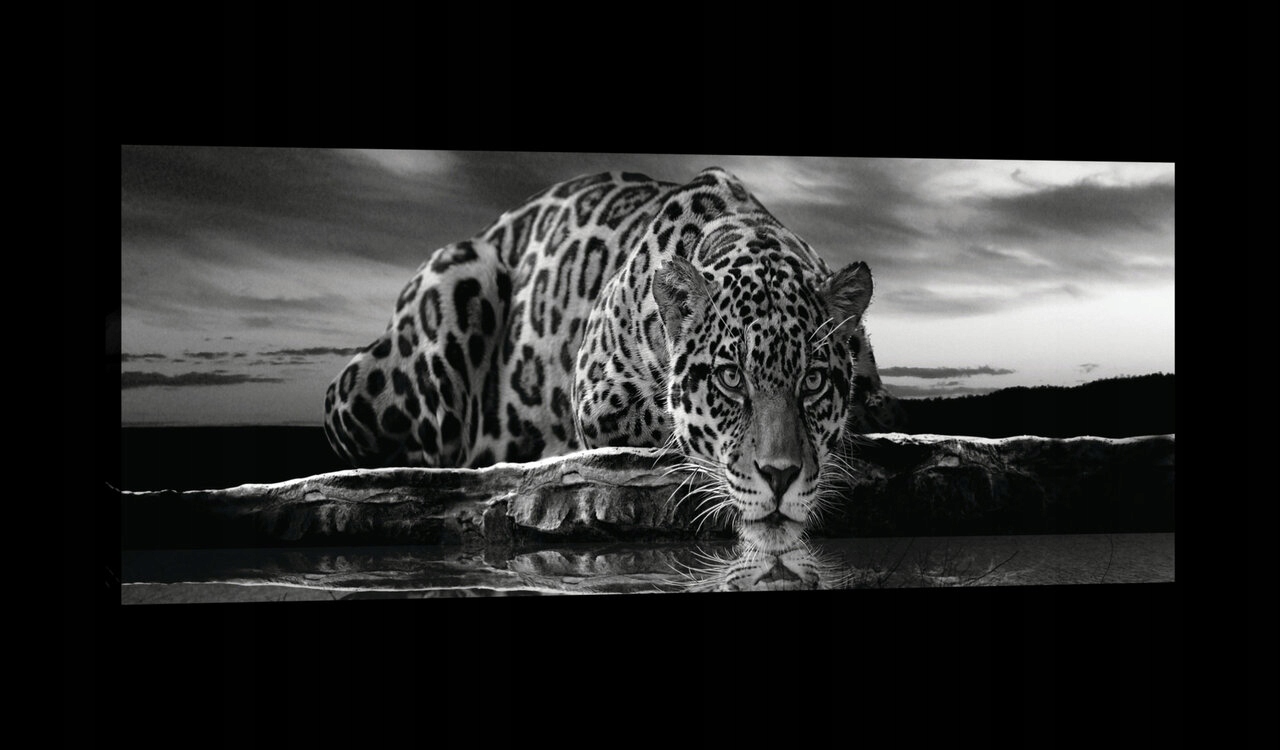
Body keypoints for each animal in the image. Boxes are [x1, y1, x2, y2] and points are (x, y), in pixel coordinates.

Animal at [323, 167, 905, 539]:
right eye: (730, 380)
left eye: (813, 382)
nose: (781, 478)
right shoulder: (599, 397)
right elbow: (671, 418)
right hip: (458, 280)